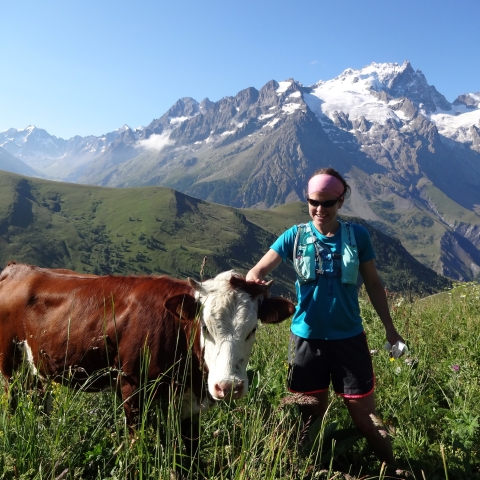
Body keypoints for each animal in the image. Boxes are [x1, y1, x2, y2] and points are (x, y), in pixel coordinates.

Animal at [0, 262, 296, 424]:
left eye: (252, 329)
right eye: (205, 327)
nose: (228, 386)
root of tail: (17, 269)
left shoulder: (189, 404)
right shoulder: (131, 386)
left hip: (36, 370)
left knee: (40, 402)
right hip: (9, 365)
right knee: (12, 403)